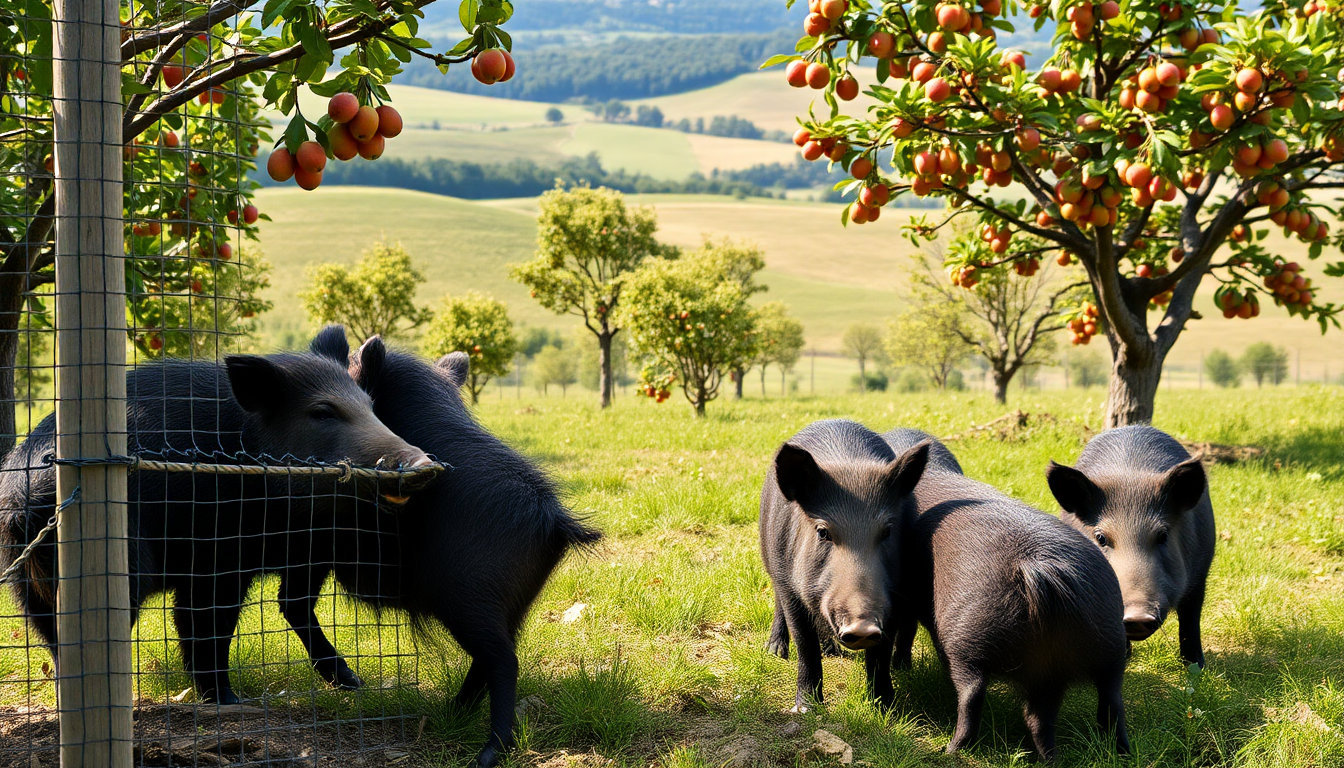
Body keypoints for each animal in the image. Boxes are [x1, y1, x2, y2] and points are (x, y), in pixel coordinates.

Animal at [0, 336, 434, 705]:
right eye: (322, 412)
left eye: (371, 407)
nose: (424, 463)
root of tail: (24, 495)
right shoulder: (218, 560)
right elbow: (209, 625)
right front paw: (227, 701)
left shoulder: (305, 551)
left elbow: (292, 605)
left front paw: (352, 683)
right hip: (118, 567)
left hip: (27, 589)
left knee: (56, 644)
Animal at [302, 328, 602, 768]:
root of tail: (554, 522)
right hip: (516, 603)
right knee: (491, 658)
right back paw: (451, 712)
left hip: (466, 598)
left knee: (503, 660)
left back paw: (486, 753)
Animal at [758, 419, 930, 712]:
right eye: (822, 532)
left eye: (887, 531)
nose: (862, 627)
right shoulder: (790, 586)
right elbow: (806, 646)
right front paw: (807, 708)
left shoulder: (895, 594)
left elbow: (881, 655)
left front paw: (885, 708)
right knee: (779, 604)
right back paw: (775, 652)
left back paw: (832, 651)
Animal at [882, 428, 1130, 761]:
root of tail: (1039, 567)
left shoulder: (905, 597)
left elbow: (905, 629)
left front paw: (902, 666)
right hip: (1104, 646)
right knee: (1102, 706)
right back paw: (1098, 755)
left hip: (967, 635)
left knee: (972, 694)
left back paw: (951, 750)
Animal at [1046, 425, 1215, 666]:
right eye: (1101, 538)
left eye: (1163, 535)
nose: (1137, 616)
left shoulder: (1201, 572)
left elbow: (1191, 618)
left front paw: (1196, 666)